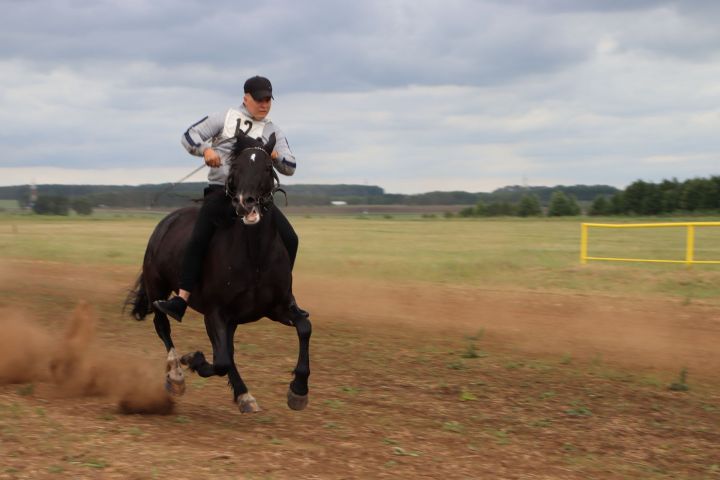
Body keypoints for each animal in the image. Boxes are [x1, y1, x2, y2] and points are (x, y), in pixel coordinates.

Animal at [127, 132, 312, 412]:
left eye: (268, 166)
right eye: (235, 167)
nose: (245, 202)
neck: (255, 257)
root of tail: (165, 222)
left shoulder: (277, 307)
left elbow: (304, 327)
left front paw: (298, 390)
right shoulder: (214, 313)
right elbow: (221, 361)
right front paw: (193, 359)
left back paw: (244, 395)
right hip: (157, 287)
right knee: (163, 326)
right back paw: (176, 375)